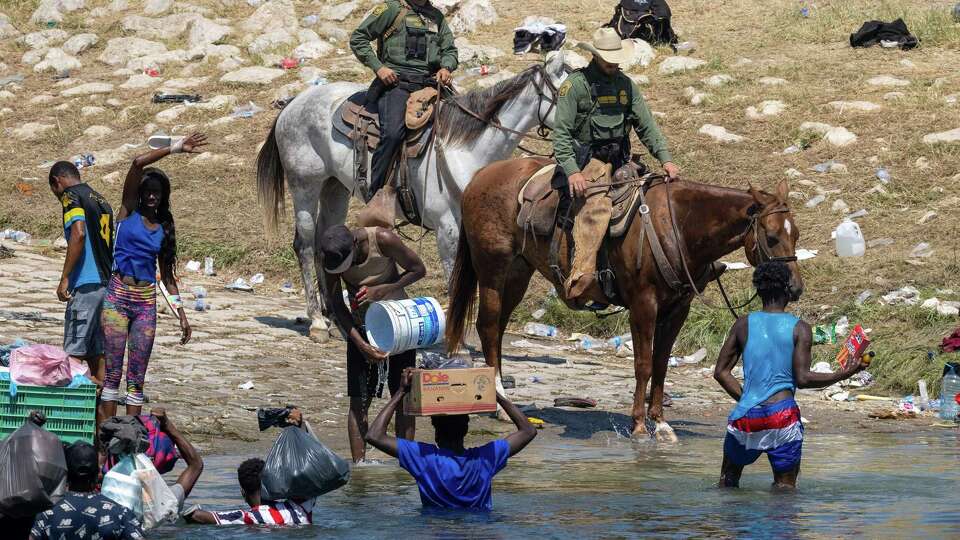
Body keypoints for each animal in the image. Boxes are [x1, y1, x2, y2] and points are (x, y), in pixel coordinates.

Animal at [256, 52, 568, 340]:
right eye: (567, 91)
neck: (465, 151)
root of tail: (294, 102)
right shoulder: (447, 230)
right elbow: (454, 282)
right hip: (305, 185)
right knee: (306, 245)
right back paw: (318, 322)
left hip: (335, 188)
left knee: (325, 242)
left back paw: (334, 319)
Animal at [442, 156, 804, 438]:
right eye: (772, 236)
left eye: (796, 234)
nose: (794, 288)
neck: (677, 226)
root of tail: (480, 176)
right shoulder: (643, 305)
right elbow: (643, 364)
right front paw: (640, 425)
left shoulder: (677, 309)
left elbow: (661, 364)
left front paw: (661, 423)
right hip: (493, 269)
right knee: (489, 327)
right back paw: (501, 403)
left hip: (519, 272)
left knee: (499, 327)